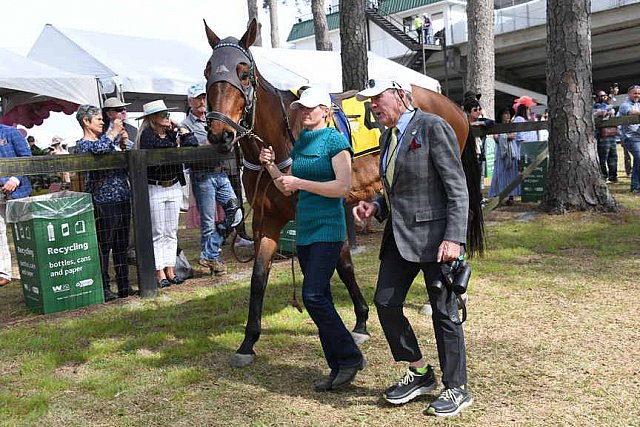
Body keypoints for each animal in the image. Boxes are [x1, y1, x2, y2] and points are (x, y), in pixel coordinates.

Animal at [202, 20, 482, 370]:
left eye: (242, 72)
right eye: (207, 71)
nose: (220, 134)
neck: (282, 139)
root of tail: (453, 106)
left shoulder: (320, 214)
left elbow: (337, 266)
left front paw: (355, 325)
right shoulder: (268, 222)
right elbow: (259, 278)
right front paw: (248, 342)